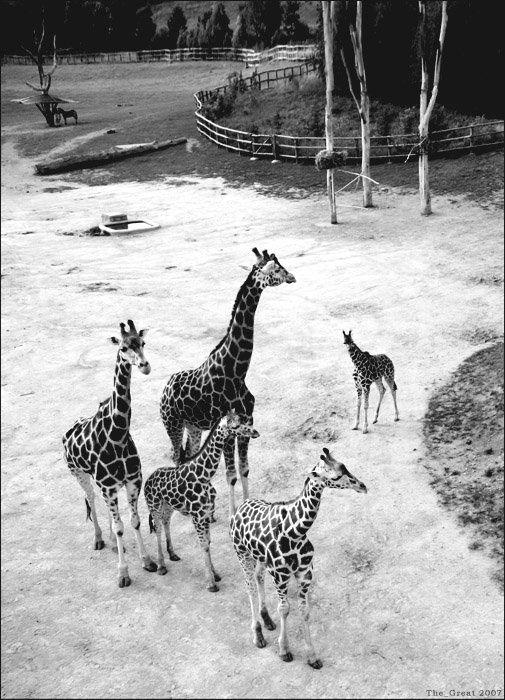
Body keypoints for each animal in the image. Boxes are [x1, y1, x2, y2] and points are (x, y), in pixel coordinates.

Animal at [62, 320, 157, 588]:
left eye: (143, 342)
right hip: (79, 473)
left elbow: (133, 522)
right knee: (91, 499)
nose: (145, 366)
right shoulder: (108, 485)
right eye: (123, 347)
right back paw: (98, 539)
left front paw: (147, 561)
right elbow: (119, 527)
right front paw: (123, 573)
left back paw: (115, 545)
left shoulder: (132, 480)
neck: (118, 435)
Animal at [144, 410, 259, 592]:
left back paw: (173, 554)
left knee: (166, 523)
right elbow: (203, 545)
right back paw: (161, 566)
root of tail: (148, 480)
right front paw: (211, 583)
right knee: (158, 529)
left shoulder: (205, 515)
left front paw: (215, 574)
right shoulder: (197, 517)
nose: (255, 432)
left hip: (168, 506)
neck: (204, 475)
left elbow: (208, 542)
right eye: (235, 426)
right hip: (154, 506)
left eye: (243, 420)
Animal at [160, 247, 296, 513]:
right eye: (276, 269)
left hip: (193, 426)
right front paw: (234, 514)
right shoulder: (228, 428)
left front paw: (246, 507)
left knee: (188, 453)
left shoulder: (248, 421)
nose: (292, 277)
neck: (237, 371)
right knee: (176, 455)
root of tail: (164, 391)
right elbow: (231, 475)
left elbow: (244, 469)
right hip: (173, 424)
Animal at [230, 447, 367, 669]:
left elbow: (304, 611)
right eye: (336, 477)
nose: (362, 486)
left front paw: (312, 656)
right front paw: (284, 650)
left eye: (344, 466)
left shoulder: (304, 573)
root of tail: (241, 506)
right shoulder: (280, 574)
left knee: (258, 577)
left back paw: (267, 620)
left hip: (259, 557)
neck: (295, 532)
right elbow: (284, 608)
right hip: (242, 553)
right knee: (249, 587)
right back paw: (258, 635)